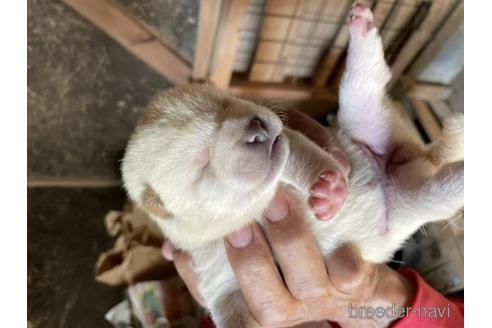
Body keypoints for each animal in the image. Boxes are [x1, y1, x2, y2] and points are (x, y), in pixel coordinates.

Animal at [121, 3, 464, 326]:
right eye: (202, 163)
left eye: (225, 102)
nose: (256, 127)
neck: (249, 213)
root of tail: (406, 155)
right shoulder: (215, 271)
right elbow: (230, 306)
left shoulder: (288, 144)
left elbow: (297, 153)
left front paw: (328, 188)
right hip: (402, 185)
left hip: (365, 127)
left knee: (364, 80)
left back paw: (361, 24)